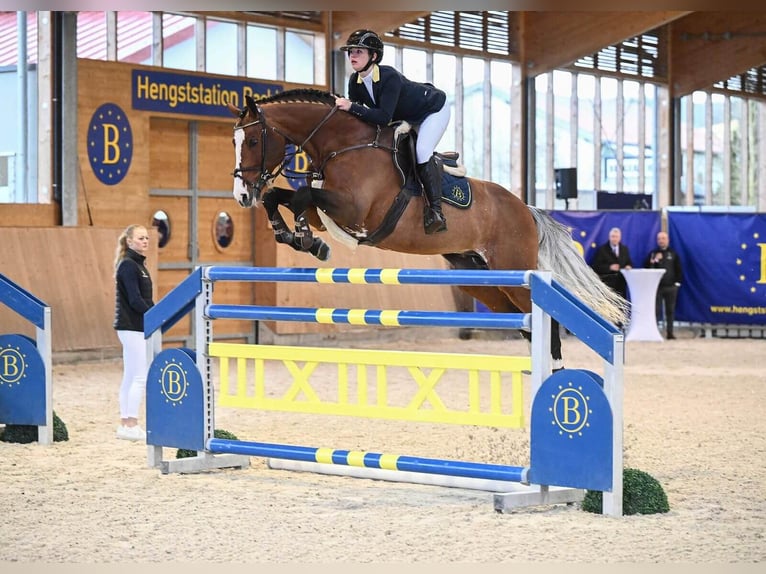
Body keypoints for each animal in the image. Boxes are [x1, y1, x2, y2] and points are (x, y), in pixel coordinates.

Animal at [228, 88, 632, 372]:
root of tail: (525, 209)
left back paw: (556, 373)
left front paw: (306, 240)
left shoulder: (353, 210)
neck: (342, 145)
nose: (242, 195)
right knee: (524, 323)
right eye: (234, 141)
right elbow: (282, 197)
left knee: (544, 321)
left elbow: (301, 196)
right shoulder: (328, 211)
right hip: (479, 277)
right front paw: (293, 236)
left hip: (515, 268)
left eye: (253, 141)